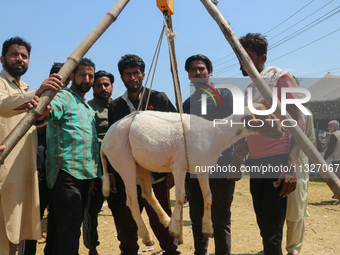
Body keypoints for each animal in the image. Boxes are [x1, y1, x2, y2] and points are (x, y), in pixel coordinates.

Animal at [100, 106, 284, 246]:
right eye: (264, 116)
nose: (282, 130)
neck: (215, 135)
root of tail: (104, 141)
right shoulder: (179, 166)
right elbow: (180, 196)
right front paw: (175, 230)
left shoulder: (202, 169)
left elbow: (208, 197)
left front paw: (207, 229)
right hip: (123, 161)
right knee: (132, 200)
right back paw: (146, 235)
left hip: (140, 164)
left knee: (147, 193)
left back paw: (165, 219)